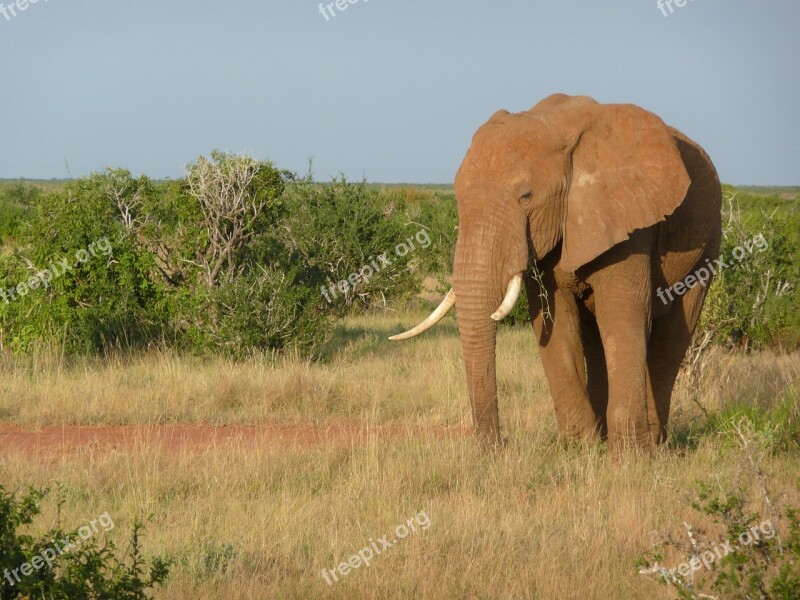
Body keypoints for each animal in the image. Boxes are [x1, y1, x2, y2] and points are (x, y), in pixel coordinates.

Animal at [390, 92, 720, 450]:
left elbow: (622, 316)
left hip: (707, 249)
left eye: (526, 196)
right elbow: (555, 318)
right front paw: (580, 448)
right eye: (457, 196)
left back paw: (655, 443)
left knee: (671, 338)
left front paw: (630, 456)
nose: (496, 449)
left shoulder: (630, 223)